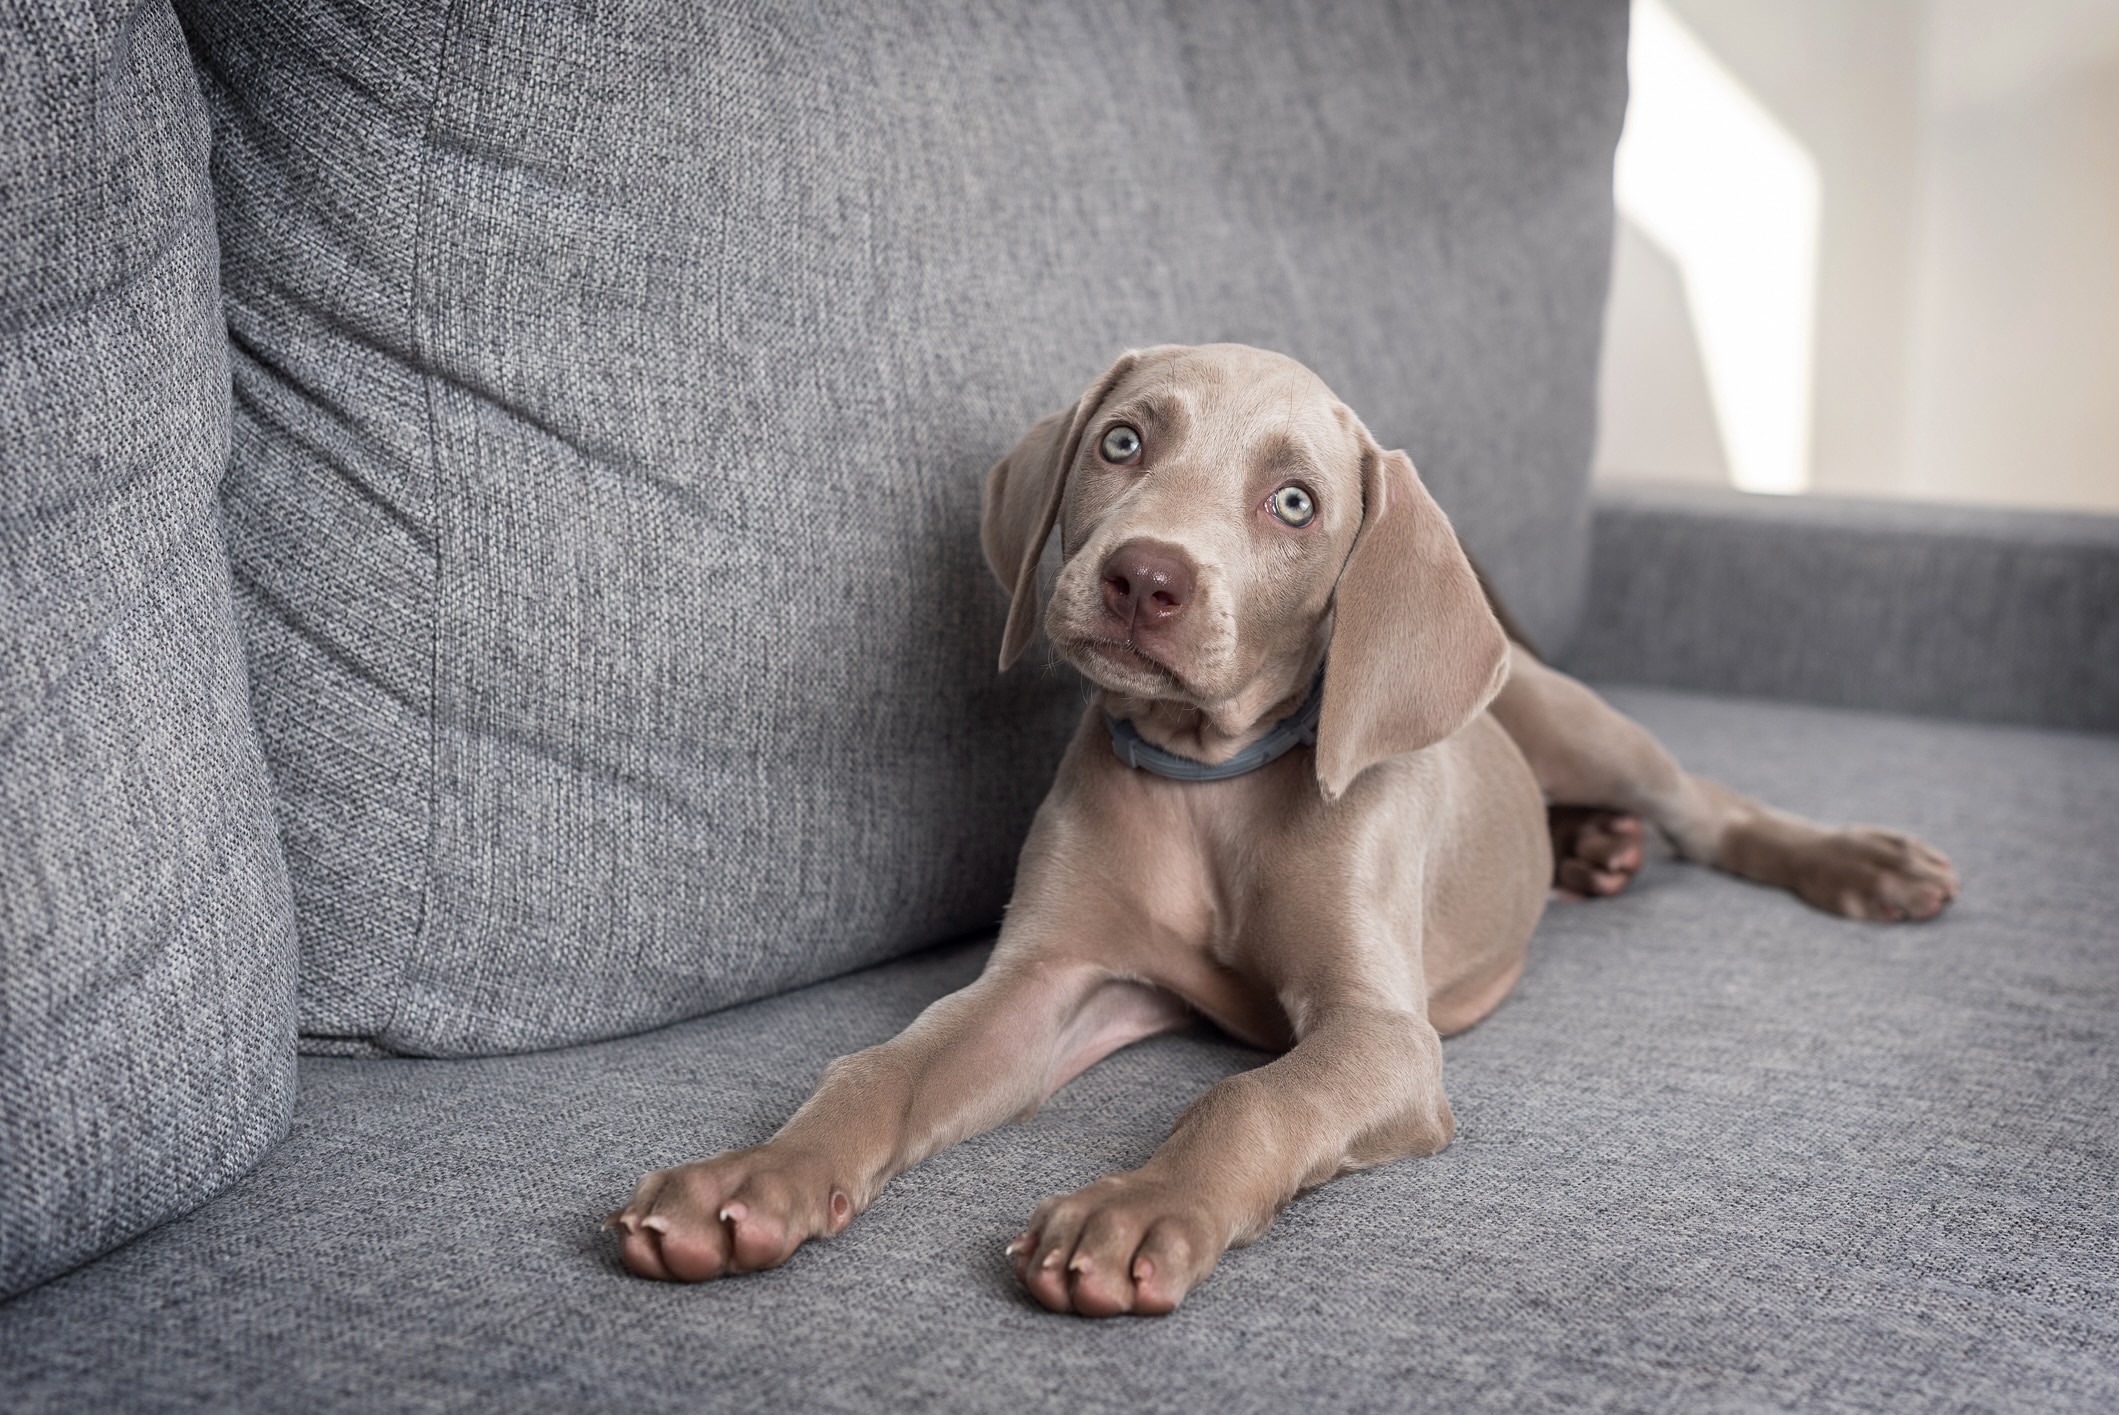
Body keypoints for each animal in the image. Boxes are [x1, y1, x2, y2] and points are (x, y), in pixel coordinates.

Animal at [610, 343, 1949, 1313]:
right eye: (1122, 440)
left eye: (1294, 503)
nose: (1143, 578)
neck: (1208, 783)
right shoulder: (1051, 980)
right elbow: (882, 1063)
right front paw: (753, 1181)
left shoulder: (1382, 1034)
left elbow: (1251, 1100)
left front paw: (1137, 1211)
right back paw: (1593, 850)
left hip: (1581, 721)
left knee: (1709, 808)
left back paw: (1853, 861)